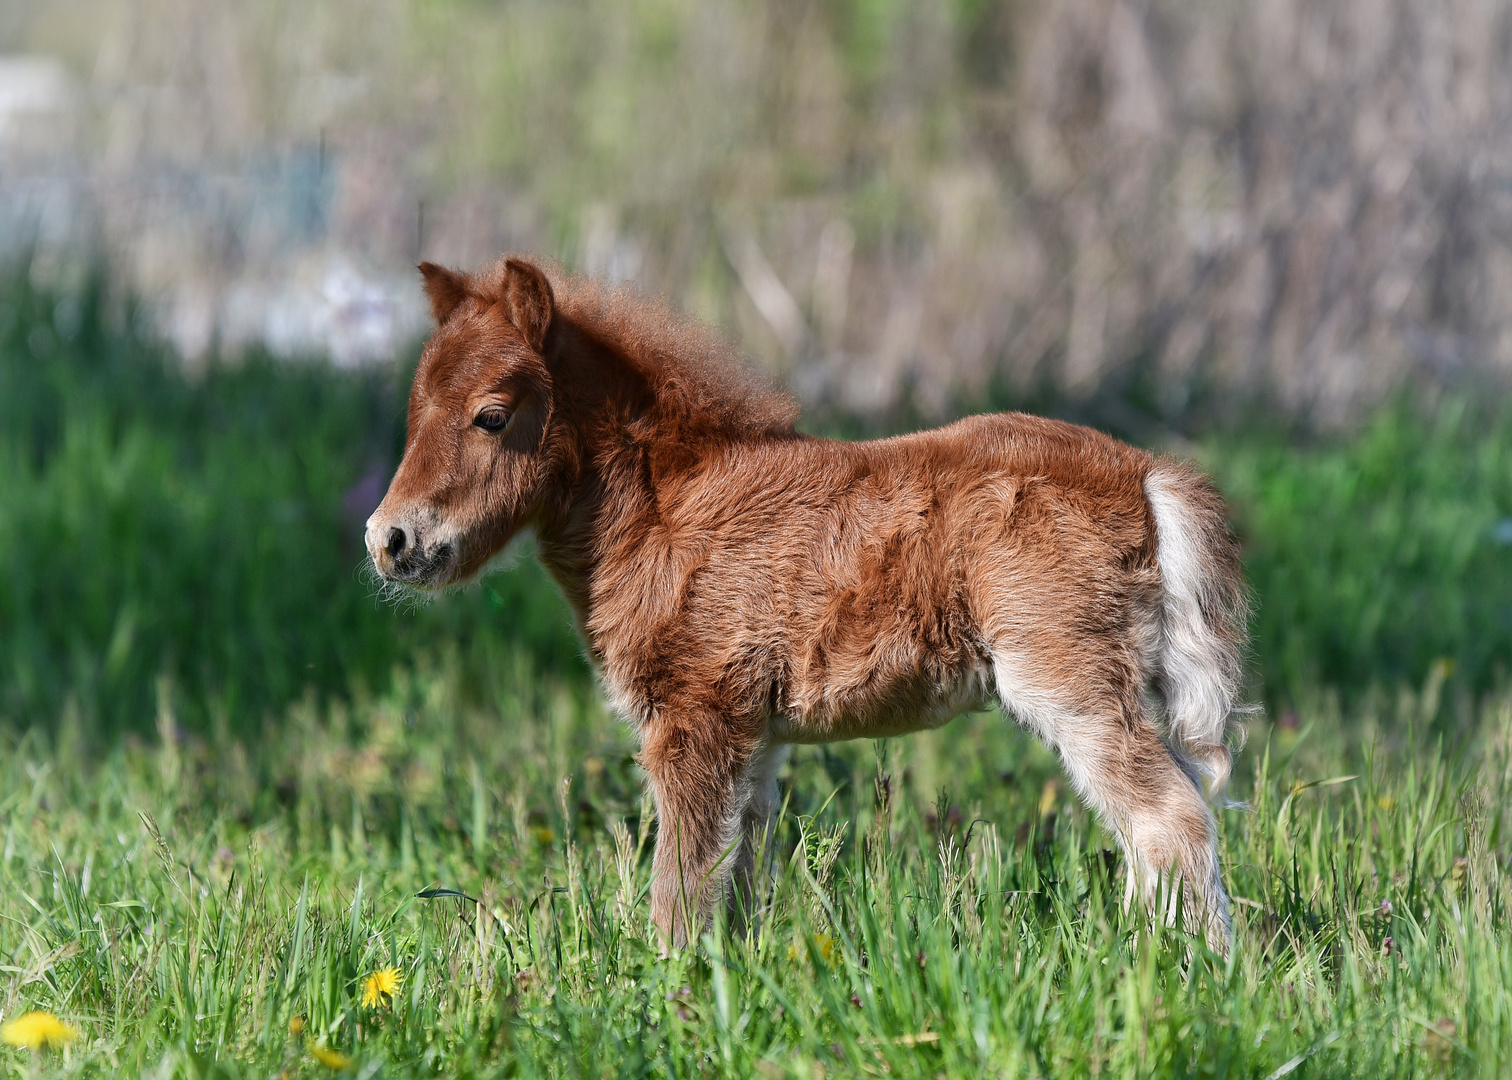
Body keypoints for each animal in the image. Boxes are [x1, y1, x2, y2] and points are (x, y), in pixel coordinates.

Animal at [365, 254, 1251, 949]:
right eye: (413, 412)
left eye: (492, 416)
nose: (389, 540)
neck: (667, 507)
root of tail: (1146, 474)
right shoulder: (752, 737)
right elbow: (734, 876)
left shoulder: (695, 720)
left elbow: (680, 887)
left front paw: (666, 991)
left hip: (1069, 684)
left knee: (1170, 819)